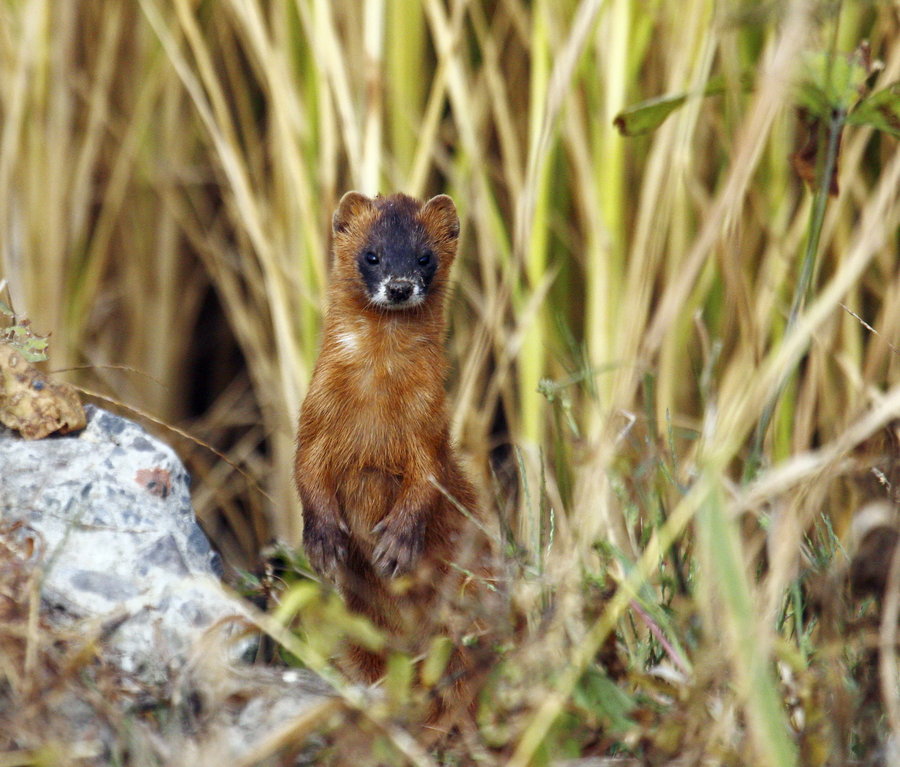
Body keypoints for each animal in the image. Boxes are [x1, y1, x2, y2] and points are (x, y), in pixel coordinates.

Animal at [294, 190, 492, 704]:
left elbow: (427, 481)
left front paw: (397, 546)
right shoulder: (314, 418)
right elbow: (305, 472)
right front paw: (324, 543)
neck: (375, 409)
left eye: (425, 257)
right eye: (372, 255)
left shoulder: (430, 425)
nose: (400, 286)